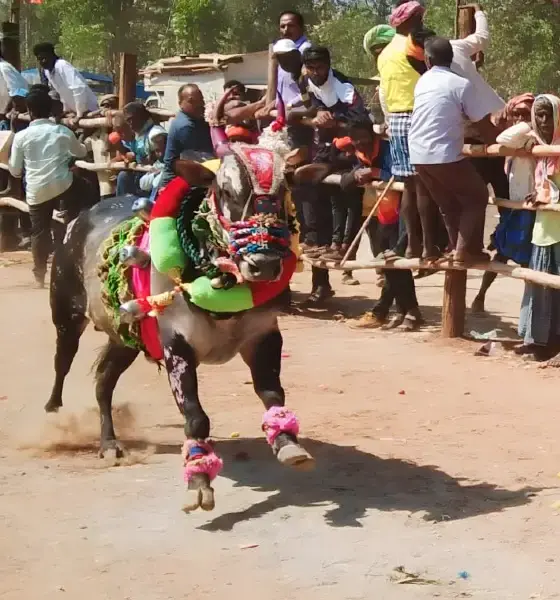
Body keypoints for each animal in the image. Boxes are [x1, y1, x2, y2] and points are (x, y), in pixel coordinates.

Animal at [44, 119, 316, 512]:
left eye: (284, 192)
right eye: (226, 191)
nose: (263, 264)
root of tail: (80, 219)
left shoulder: (264, 335)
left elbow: (272, 392)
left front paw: (287, 443)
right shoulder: (176, 345)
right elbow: (195, 414)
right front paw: (199, 481)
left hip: (125, 337)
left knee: (103, 382)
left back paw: (109, 443)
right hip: (66, 315)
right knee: (62, 362)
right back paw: (54, 410)